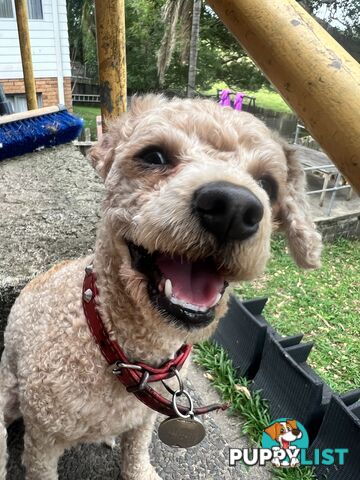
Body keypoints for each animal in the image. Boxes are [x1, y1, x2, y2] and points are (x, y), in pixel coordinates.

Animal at [0, 95, 320, 478]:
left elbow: (136, 454)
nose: (233, 207)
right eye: (154, 156)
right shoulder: (42, 444)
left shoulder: (144, 419)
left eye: (269, 184)